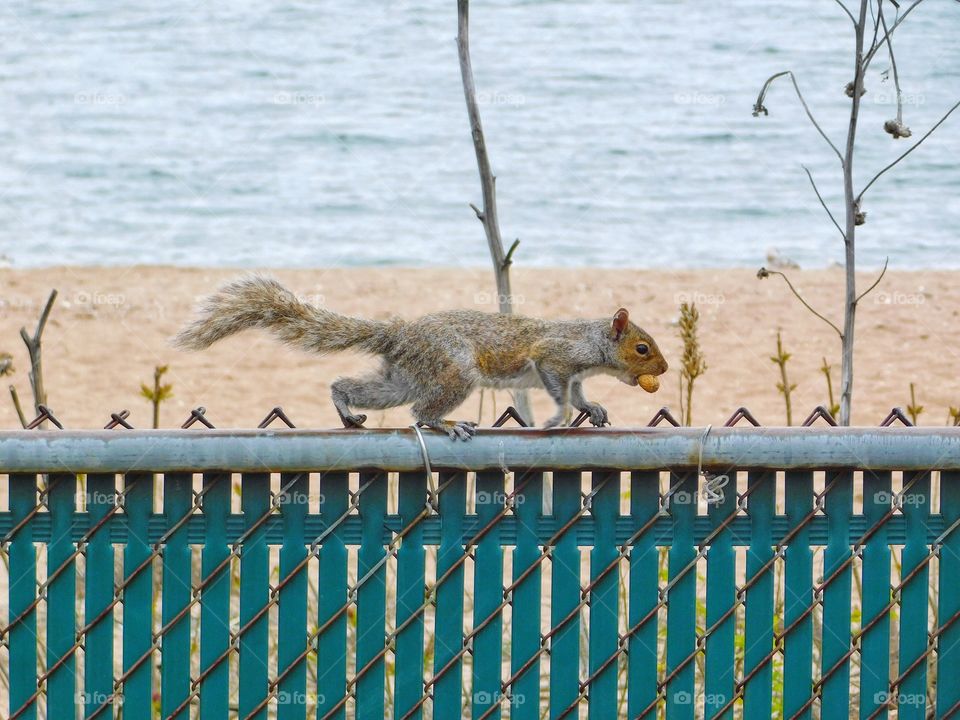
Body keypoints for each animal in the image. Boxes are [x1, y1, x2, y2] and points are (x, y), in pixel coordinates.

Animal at [172, 278, 668, 438]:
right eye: (642, 348)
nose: (663, 369)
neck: (593, 343)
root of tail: (400, 334)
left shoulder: (576, 372)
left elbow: (580, 394)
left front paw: (593, 409)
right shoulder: (553, 358)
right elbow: (558, 392)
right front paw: (555, 417)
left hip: (401, 378)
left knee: (355, 387)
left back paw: (347, 411)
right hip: (454, 372)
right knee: (419, 413)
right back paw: (446, 424)